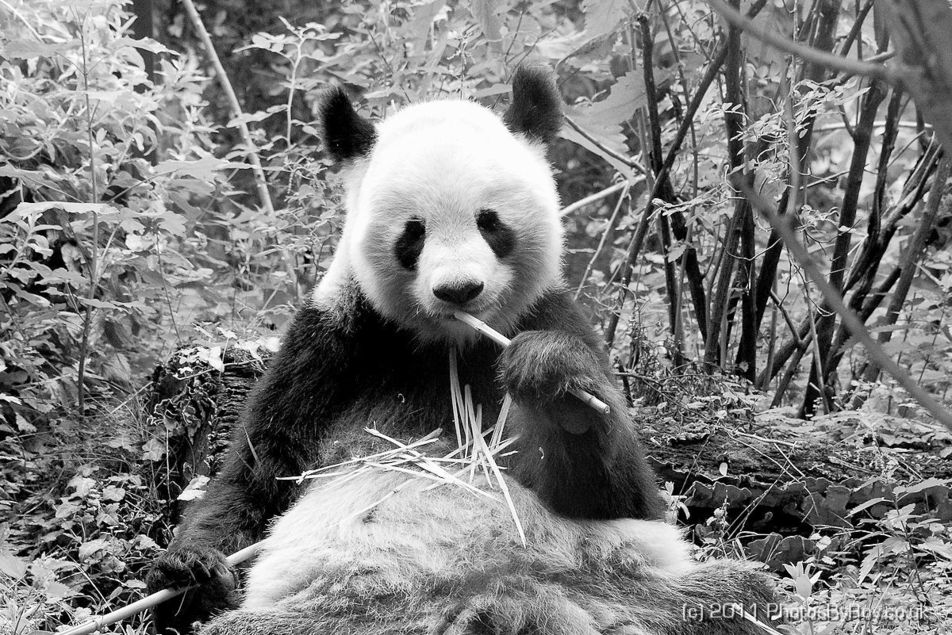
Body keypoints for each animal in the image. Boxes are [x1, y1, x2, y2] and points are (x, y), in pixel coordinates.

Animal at [147, 67, 776, 634]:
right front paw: (190, 569)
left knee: (737, 597)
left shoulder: (553, 315)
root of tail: (501, 601)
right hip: (340, 614)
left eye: (490, 222)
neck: (451, 342)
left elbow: (624, 499)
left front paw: (552, 378)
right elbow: (258, 475)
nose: (459, 291)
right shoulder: (334, 341)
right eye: (413, 233)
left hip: (625, 587)